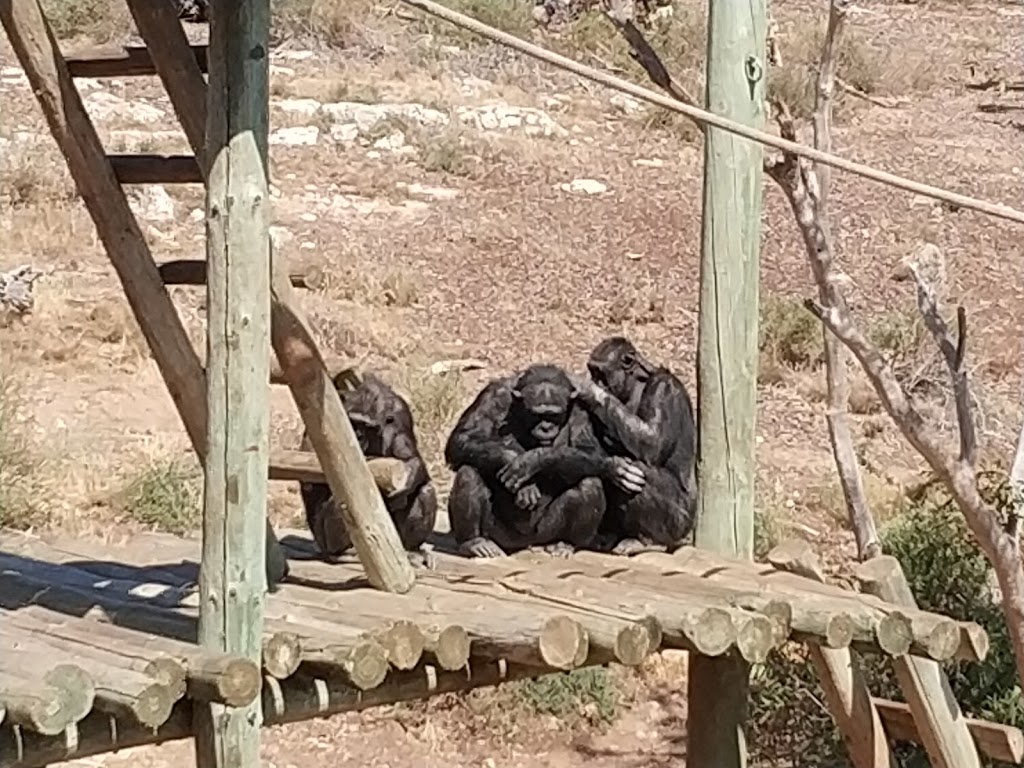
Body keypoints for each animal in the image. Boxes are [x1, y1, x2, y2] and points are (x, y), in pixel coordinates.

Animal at [299, 372, 438, 573]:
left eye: (368, 426)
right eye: (353, 422)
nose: (358, 435)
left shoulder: (402, 413)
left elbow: (412, 457)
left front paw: (408, 477)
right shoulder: (321, 413)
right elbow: (311, 470)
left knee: (426, 491)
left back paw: (413, 551)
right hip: (324, 541)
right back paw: (344, 553)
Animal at [444, 364, 643, 561]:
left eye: (554, 415)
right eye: (537, 415)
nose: (546, 428)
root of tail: (528, 543)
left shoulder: (580, 408)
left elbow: (589, 448)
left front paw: (531, 461)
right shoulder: (492, 396)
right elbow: (463, 438)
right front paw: (513, 461)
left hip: (547, 531)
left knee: (590, 483)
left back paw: (565, 544)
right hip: (500, 534)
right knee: (469, 471)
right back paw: (475, 543)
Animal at [573, 333, 700, 557]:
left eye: (600, 373)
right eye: (592, 371)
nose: (594, 380)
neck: (634, 386)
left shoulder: (664, 390)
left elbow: (652, 441)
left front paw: (589, 391)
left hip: (678, 523)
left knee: (639, 473)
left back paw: (646, 541)